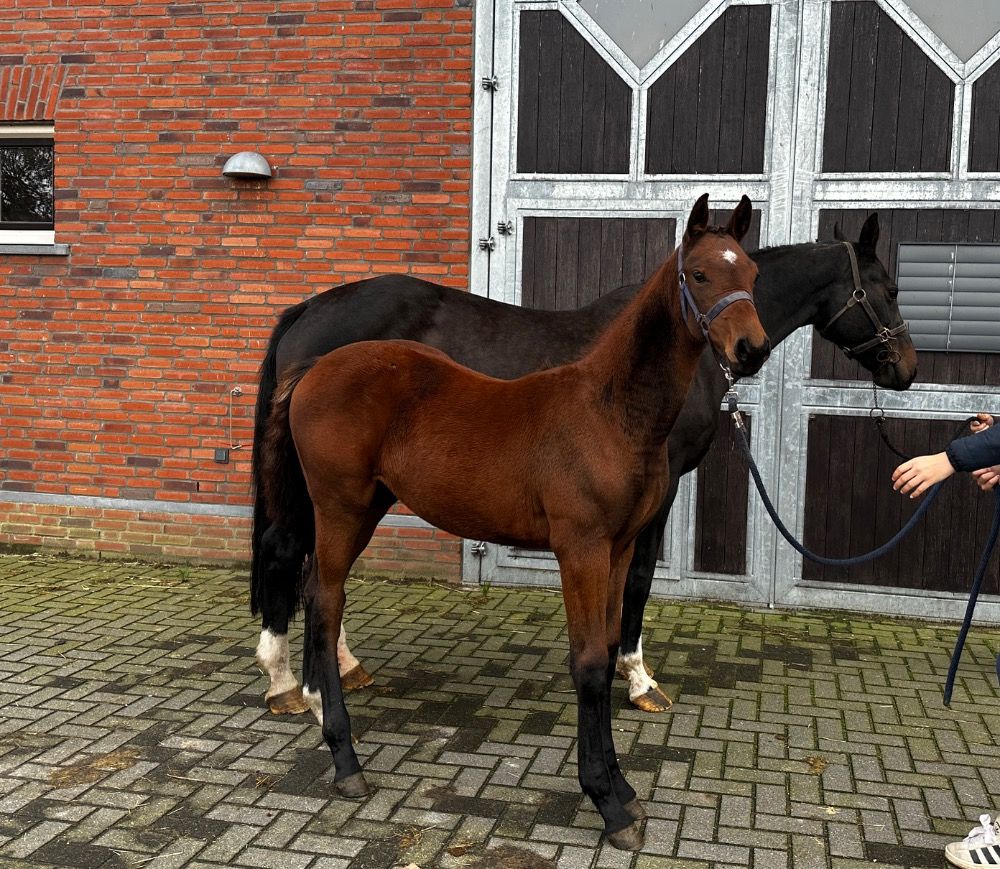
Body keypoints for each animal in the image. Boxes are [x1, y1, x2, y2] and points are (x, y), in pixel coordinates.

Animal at [250, 211, 917, 716]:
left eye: (751, 274)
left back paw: (341, 666)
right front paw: (639, 678)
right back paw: (286, 683)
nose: (906, 369)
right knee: (293, 555)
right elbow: (640, 581)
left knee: (322, 570)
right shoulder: (658, 492)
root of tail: (310, 310)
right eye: (887, 290)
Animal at [258, 195, 770, 849]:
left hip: (363, 506)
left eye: (751, 273)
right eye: (701, 274)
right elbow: (589, 663)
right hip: (339, 507)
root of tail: (317, 367)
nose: (751, 349)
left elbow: (608, 646)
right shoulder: (580, 548)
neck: (610, 411)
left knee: (316, 592)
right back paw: (343, 756)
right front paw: (607, 802)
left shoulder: (619, 547)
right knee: (323, 600)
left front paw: (622, 788)